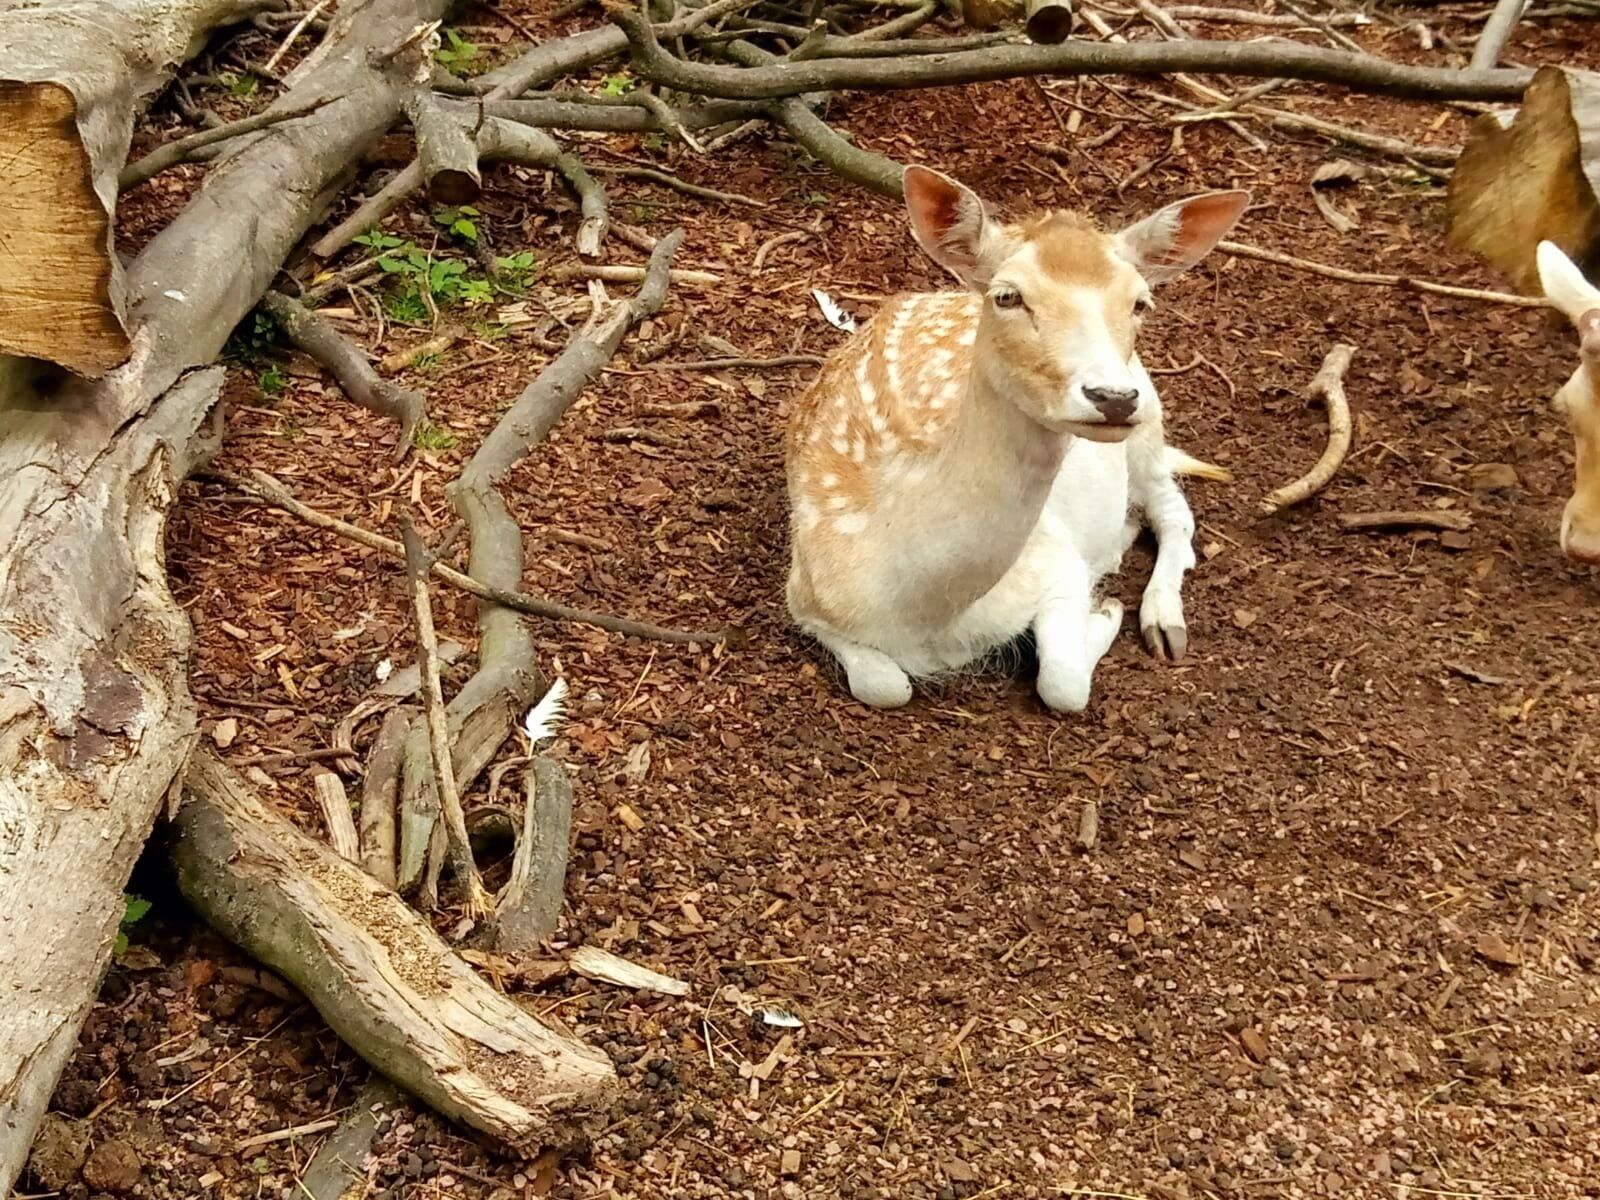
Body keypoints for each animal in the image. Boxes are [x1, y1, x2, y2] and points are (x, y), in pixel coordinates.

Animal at [784, 166, 1249, 711]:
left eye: (1140, 302)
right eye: (1008, 295)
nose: (1112, 397)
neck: (927, 614)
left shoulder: (1057, 564)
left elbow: (1063, 683)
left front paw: (1105, 610)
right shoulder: (804, 596)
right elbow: (885, 685)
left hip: (1149, 418)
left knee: (1172, 505)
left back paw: (1160, 615)